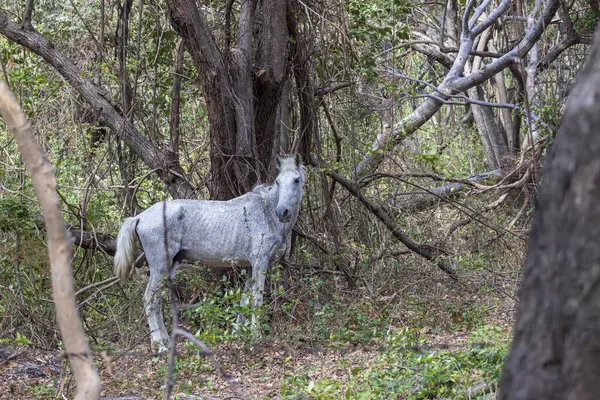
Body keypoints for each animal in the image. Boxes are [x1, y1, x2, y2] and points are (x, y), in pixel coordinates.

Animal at [113, 155, 304, 352]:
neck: (266, 212)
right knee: (150, 299)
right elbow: (257, 299)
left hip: (168, 267)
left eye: (296, 180)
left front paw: (237, 334)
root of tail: (140, 216)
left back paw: (165, 341)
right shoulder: (260, 262)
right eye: (278, 181)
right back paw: (160, 345)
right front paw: (255, 338)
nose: (282, 212)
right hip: (160, 267)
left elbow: (245, 300)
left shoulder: (251, 267)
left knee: (157, 300)